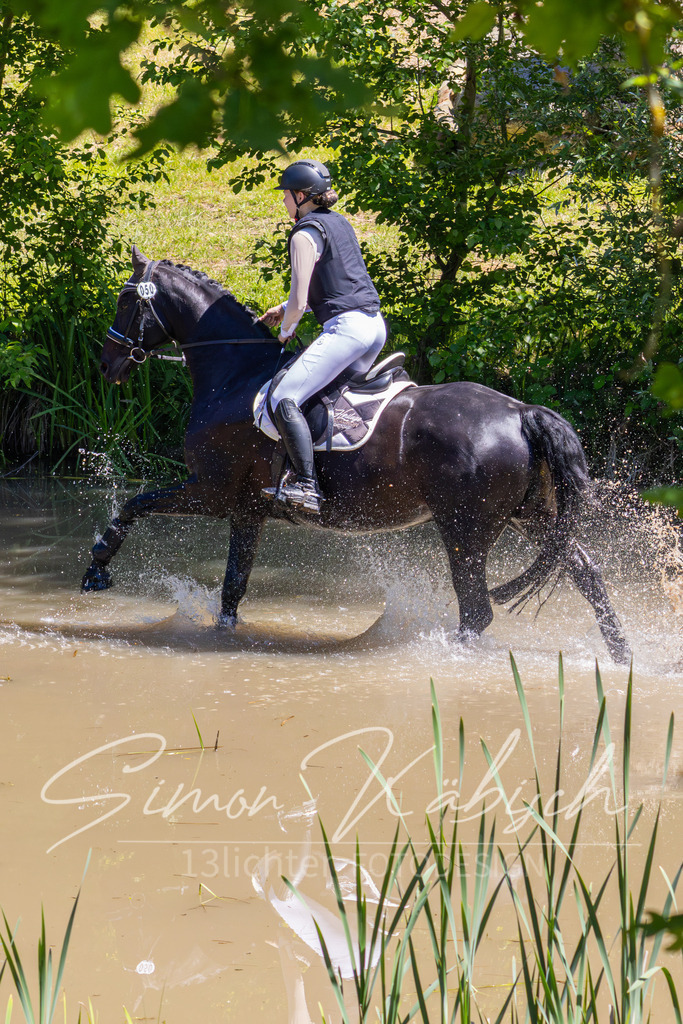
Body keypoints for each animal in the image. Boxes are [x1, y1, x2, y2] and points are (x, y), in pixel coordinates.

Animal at [81, 246, 630, 663]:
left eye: (126, 300)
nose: (106, 365)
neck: (234, 374)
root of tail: (520, 412)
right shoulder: (247, 509)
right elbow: (233, 586)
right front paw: (222, 634)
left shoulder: (212, 491)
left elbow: (135, 504)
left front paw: (97, 569)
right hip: (529, 515)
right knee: (586, 571)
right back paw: (623, 657)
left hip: (465, 527)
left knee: (477, 608)